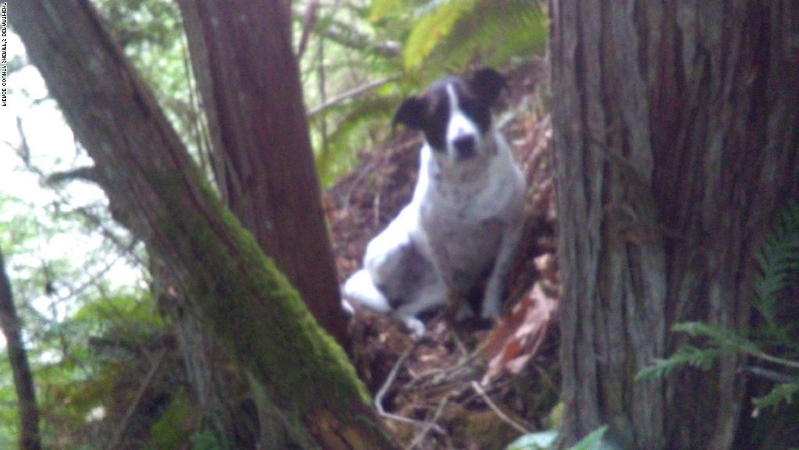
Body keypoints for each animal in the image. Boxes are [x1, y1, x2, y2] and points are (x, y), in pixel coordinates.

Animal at [342, 67, 524, 334]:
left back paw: (416, 325)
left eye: (473, 104)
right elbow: (453, 287)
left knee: (404, 308)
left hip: (434, 290)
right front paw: (462, 315)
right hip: (394, 250)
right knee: (394, 305)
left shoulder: (512, 227)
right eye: (437, 117)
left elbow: (497, 275)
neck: (467, 180)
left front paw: (490, 310)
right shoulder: (437, 245)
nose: (463, 141)